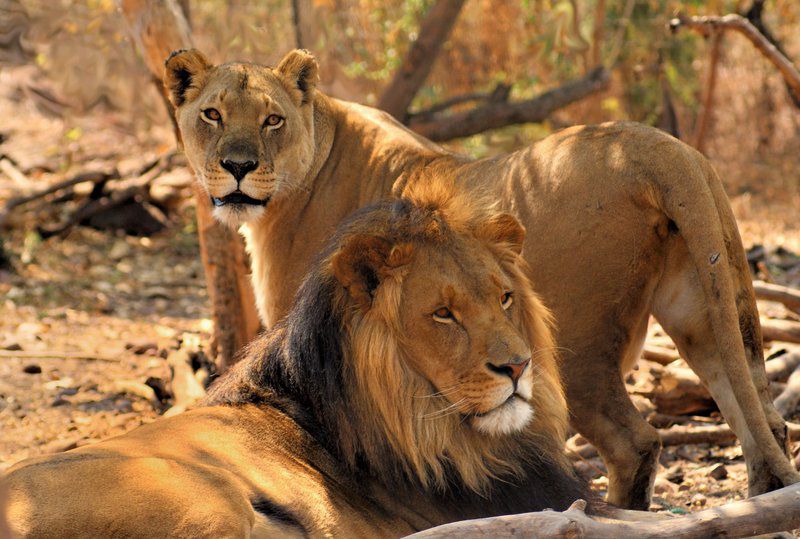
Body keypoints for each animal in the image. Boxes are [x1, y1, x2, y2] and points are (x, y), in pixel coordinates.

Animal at [161, 47, 792, 510]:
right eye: (212, 115)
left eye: (273, 119)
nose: (237, 167)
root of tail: (658, 147)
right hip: (711, 311)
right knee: (766, 421)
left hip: (578, 352)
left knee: (635, 444)